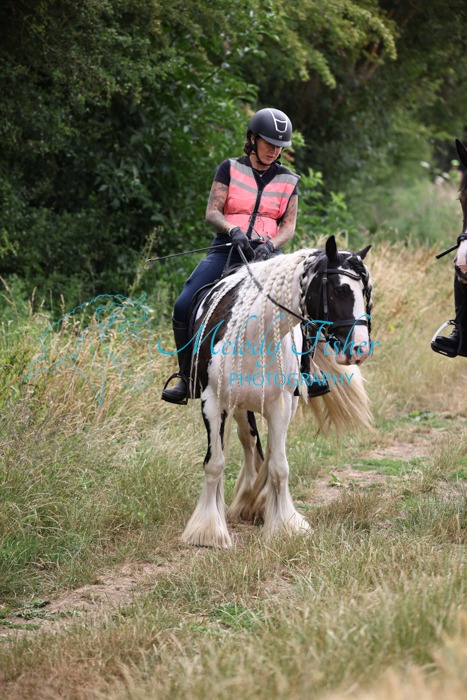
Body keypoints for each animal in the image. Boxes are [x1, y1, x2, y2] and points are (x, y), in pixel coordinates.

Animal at [181, 235, 374, 548]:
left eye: (365, 292)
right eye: (339, 290)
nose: (359, 349)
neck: (254, 335)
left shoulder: (280, 404)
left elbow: (279, 466)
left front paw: (284, 526)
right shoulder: (213, 402)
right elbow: (215, 463)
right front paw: (207, 531)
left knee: (265, 449)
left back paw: (256, 503)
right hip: (237, 406)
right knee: (247, 441)